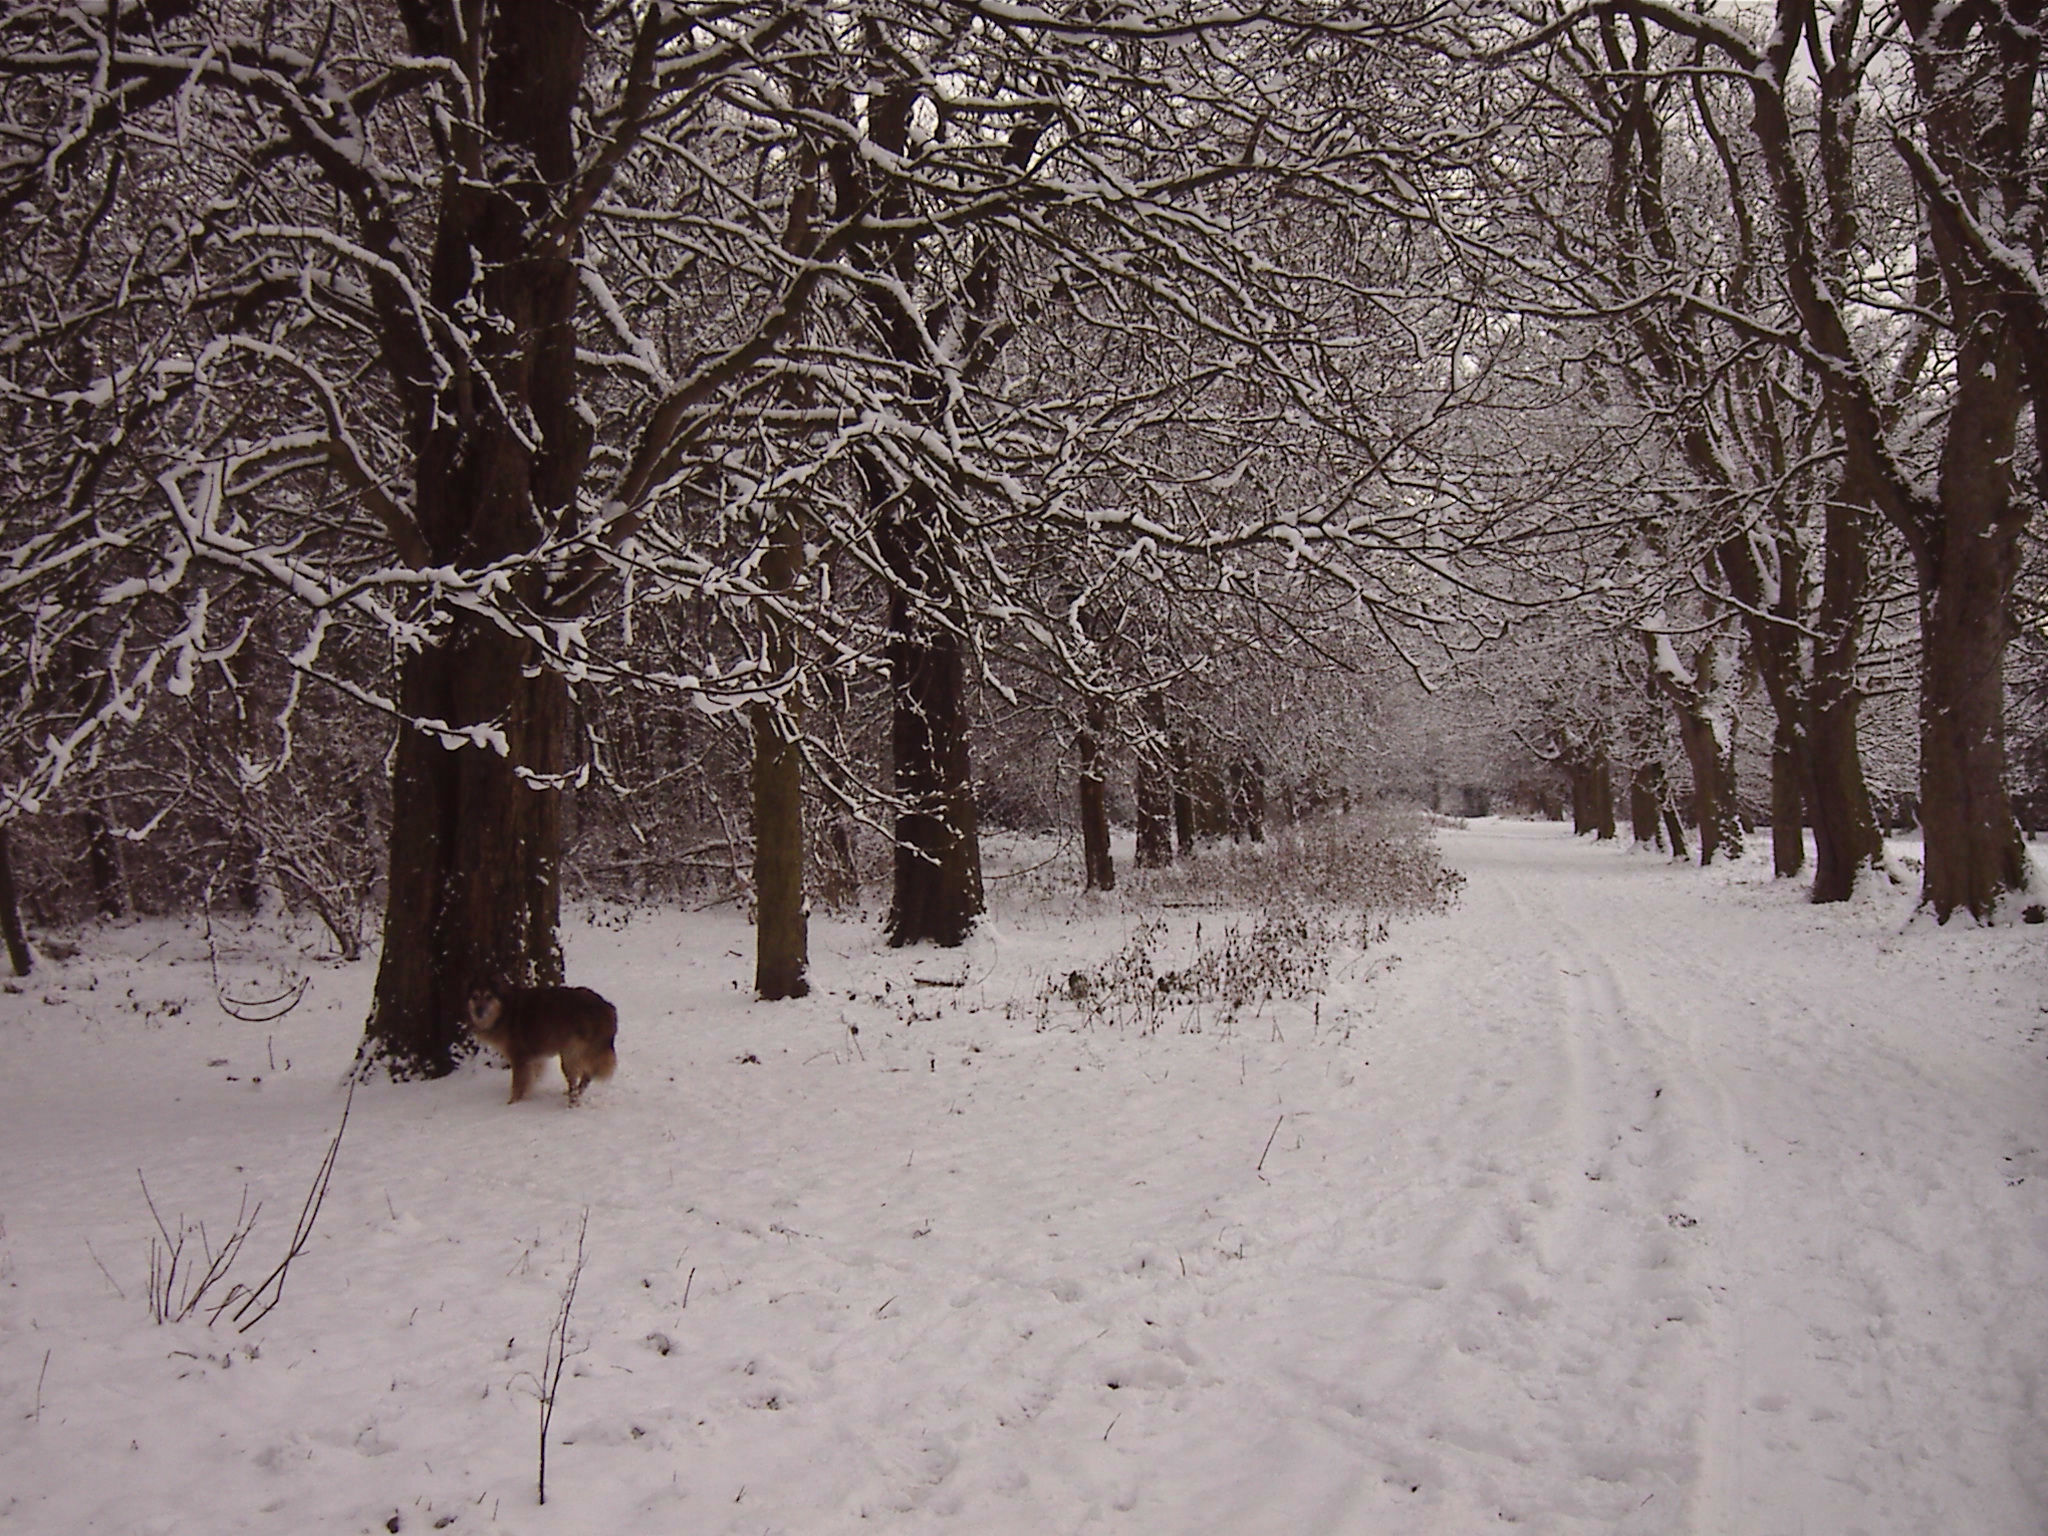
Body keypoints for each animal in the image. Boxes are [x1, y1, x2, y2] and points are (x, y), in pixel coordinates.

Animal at [464, 987, 614, 1105]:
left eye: (489, 996)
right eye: (474, 997)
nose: (479, 1011)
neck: (506, 1009)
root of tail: (607, 1009)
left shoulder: (519, 1058)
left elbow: (518, 1083)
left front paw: (513, 1103)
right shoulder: (533, 1058)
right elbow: (530, 1078)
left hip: (570, 1055)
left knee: (580, 1079)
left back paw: (572, 1101)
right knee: (586, 1076)